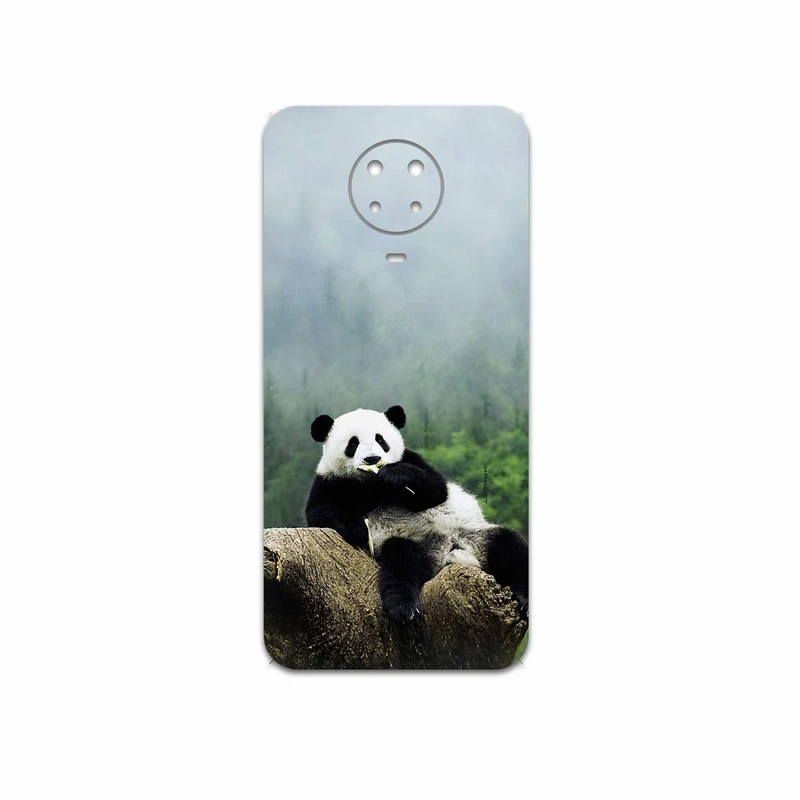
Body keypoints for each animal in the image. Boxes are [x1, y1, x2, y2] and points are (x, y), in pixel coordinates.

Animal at [305, 405, 528, 623]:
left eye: (380, 439)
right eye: (353, 443)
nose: (372, 459)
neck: (372, 484)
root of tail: (446, 553)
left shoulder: (411, 459)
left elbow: (436, 489)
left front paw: (394, 474)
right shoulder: (330, 481)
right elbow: (319, 513)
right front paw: (360, 529)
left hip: (474, 535)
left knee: (511, 546)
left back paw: (525, 600)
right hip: (410, 544)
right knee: (402, 562)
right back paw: (403, 608)